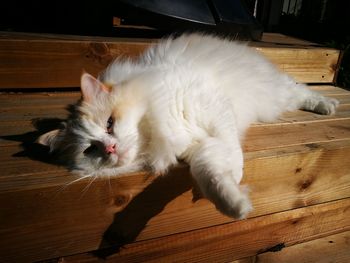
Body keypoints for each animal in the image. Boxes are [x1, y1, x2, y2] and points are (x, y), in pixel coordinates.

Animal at [38, 34, 340, 220]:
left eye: (110, 124)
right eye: (90, 150)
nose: (111, 148)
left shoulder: (213, 107)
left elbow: (232, 146)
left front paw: (238, 173)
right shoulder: (197, 149)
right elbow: (209, 172)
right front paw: (235, 205)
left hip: (275, 95)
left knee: (302, 90)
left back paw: (327, 105)